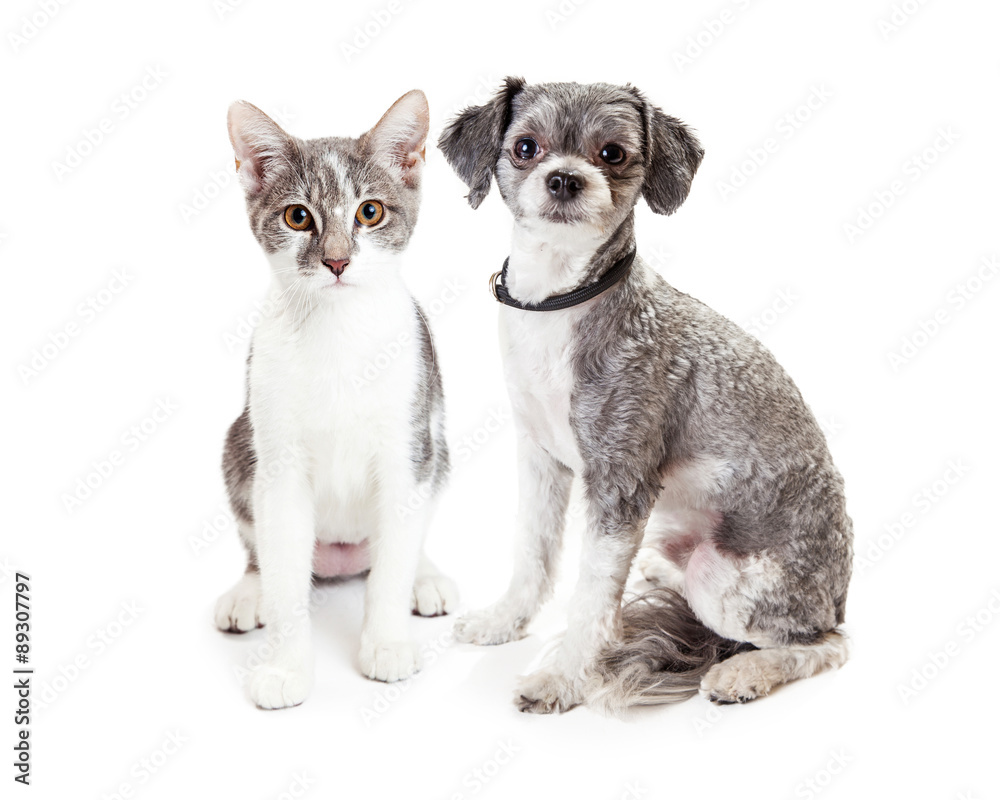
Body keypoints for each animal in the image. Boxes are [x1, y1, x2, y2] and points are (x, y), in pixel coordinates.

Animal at [217, 90, 458, 708]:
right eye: (298, 216)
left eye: (369, 212)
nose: (337, 260)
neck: (338, 332)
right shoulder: (278, 464)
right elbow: (284, 581)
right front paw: (286, 668)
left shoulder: (408, 443)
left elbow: (393, 562)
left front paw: (387, 643)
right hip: (238, 442)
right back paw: (248, 589)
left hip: (437, 447)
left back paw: (426, 575)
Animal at [438, 76, 852, 712]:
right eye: (526, 147)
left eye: (612, 153)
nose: (565, 178)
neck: (558, 303)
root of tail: (840, 595)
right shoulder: (540, 458)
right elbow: (533, 552)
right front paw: (505, 620)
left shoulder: (621, 481)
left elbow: (591, 596)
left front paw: (563, 679)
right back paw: (659, 573)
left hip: (729, 580)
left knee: (825, 643)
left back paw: (745, 672)